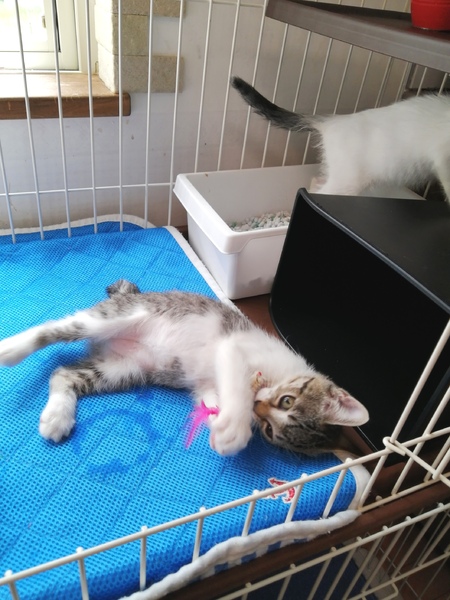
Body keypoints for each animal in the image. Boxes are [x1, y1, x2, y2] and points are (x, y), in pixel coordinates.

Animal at [0, 280, 368, 455]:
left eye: (270, 431)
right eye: (287, 400)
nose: (261, 407)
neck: (279, 375)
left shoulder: (208, 385)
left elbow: (212, 398)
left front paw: (220, 420)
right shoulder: (234, 348)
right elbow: (237, 385)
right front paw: (235, 431)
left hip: (123, 370)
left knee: (64, 373)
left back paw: (57, 416)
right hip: (114, 318)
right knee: (52, 329)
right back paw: (11, 349)